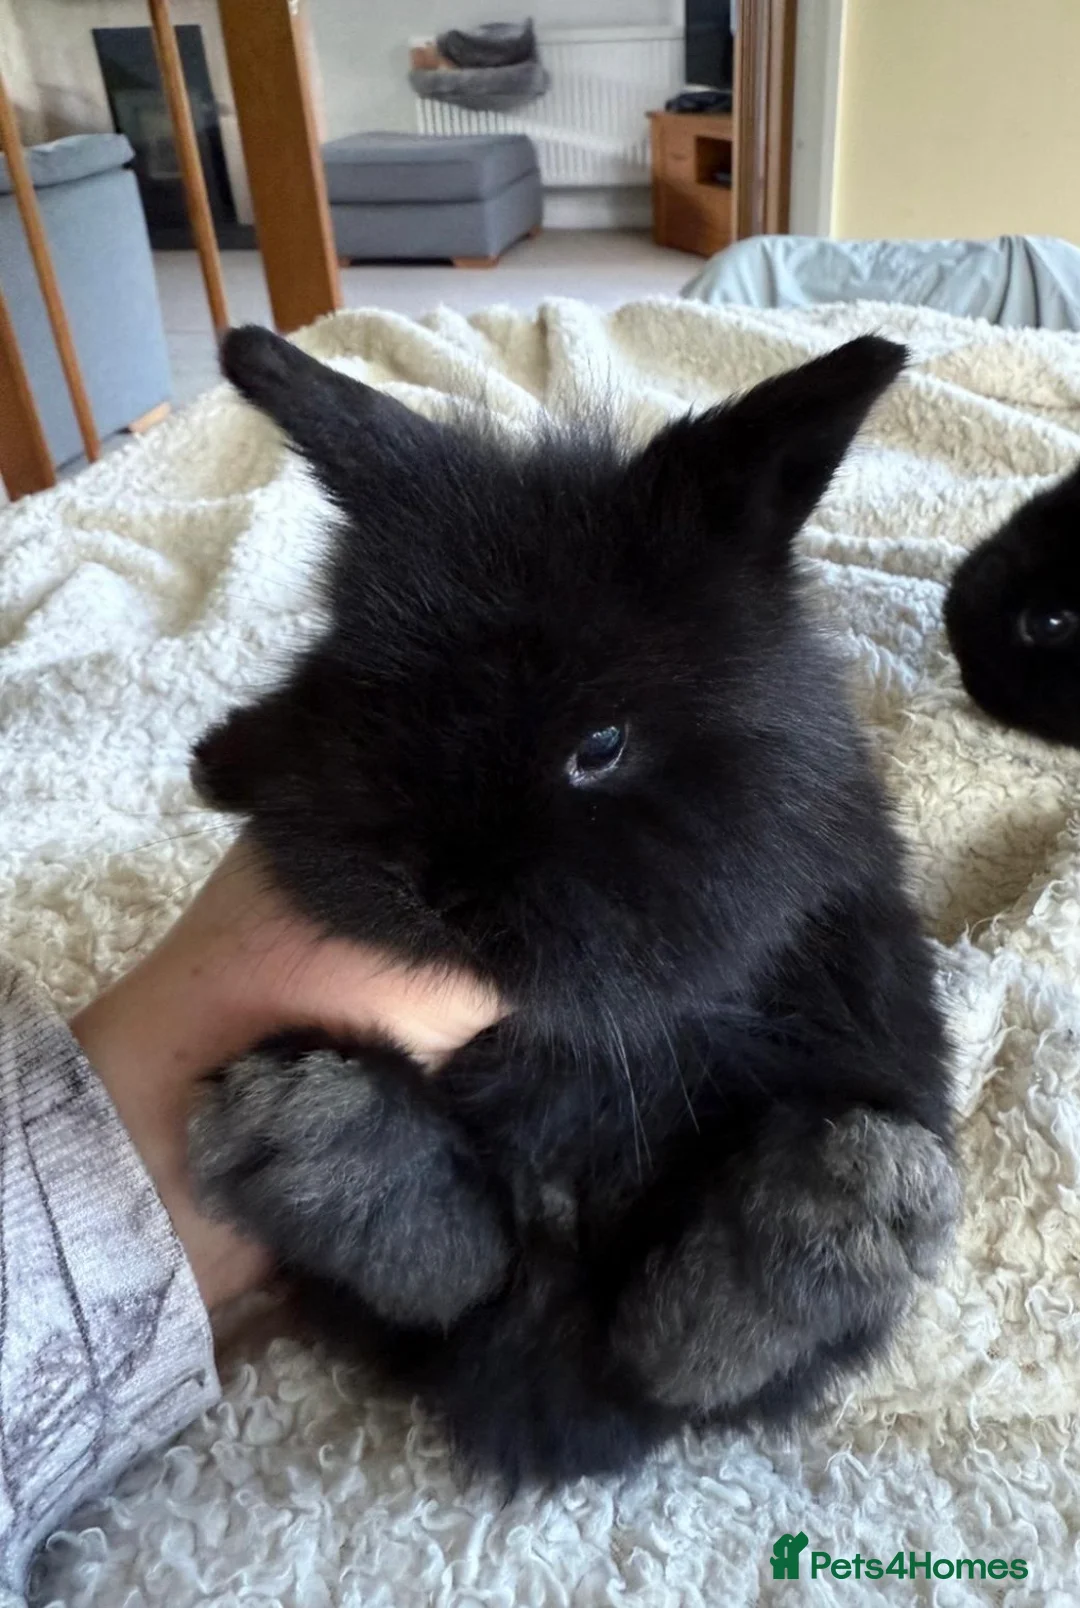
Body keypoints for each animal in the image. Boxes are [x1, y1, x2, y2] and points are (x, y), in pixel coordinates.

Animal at [188, 327, 959, 1489]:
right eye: (364, 700)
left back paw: (812, 1233)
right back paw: (326, 1143)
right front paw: (220, 761)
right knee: (468, 1279)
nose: (435, 888)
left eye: (600, 745)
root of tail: (552, 1407)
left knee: (673, 1352)